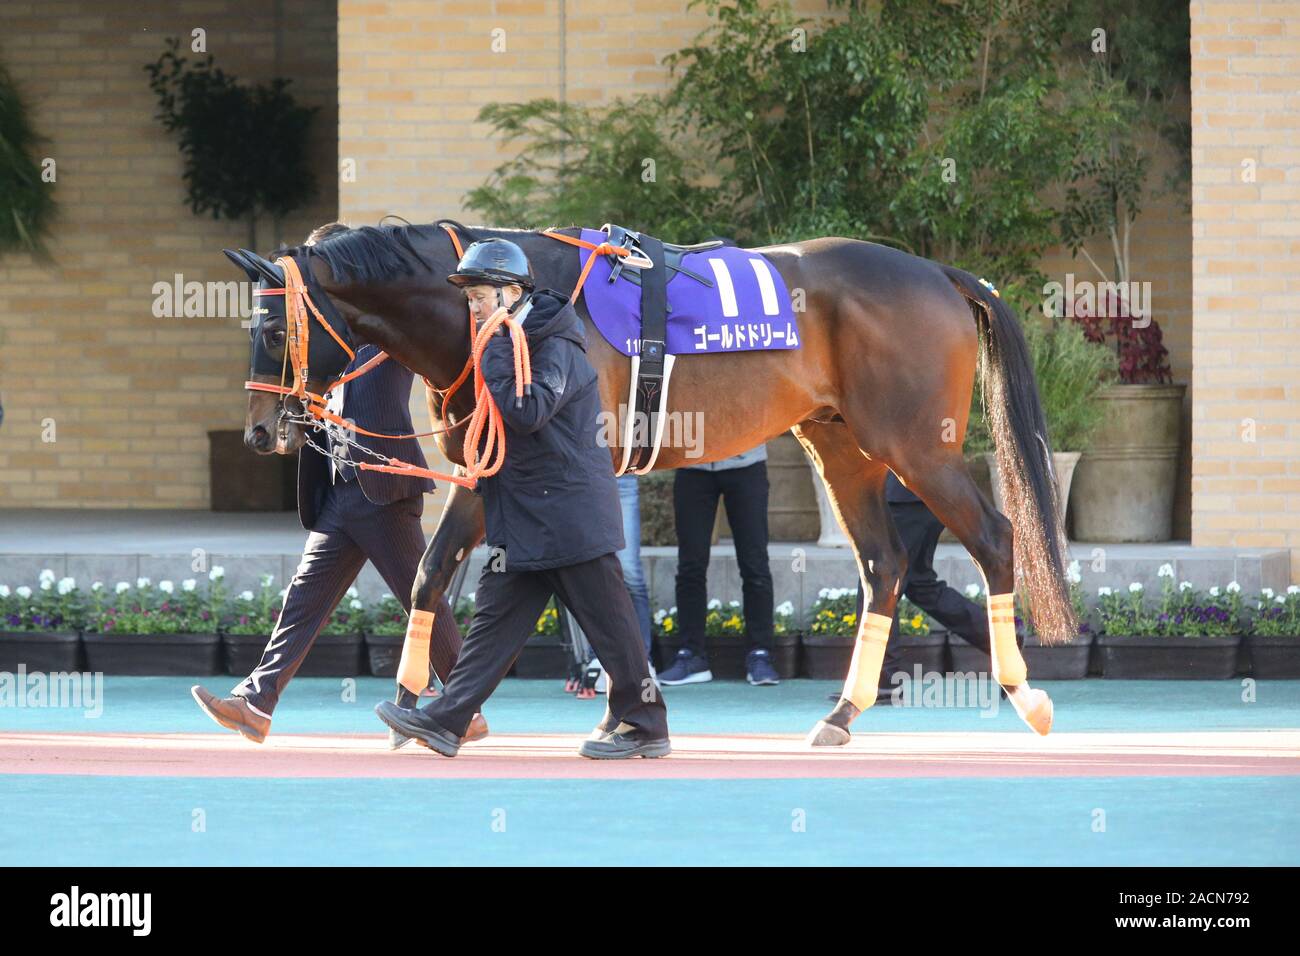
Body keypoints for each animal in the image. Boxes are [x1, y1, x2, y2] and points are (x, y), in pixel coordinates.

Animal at [228, 221, 1071, 743]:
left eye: (269, 329)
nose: (260, 433)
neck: (494, 310)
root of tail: (937, 273)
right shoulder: (486, 462)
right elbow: (433, 573)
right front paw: (418, 703)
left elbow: (576, 582)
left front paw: (621, 708)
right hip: (843, 446)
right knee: (884, 564)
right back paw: (841, 712)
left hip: (916, 446)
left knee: (995, 538)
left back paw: (1025, 692)